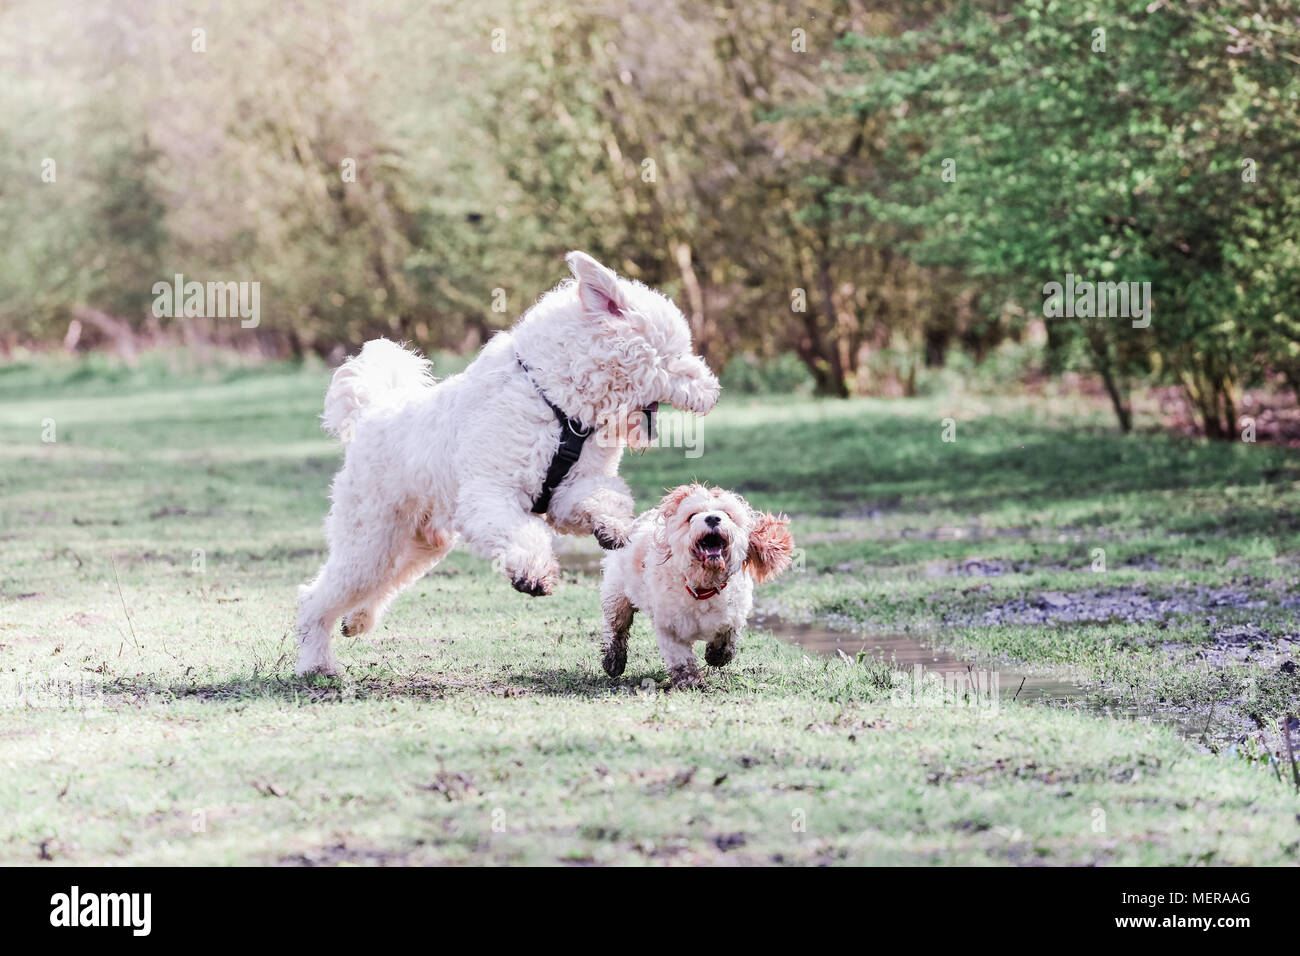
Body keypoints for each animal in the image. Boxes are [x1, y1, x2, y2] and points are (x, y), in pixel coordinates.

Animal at [296, 251, 722, 676]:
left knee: (378, 587)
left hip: (417, 545)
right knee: (315, 598)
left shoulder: (567, 491)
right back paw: (317, 663)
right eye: (678, 356)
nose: (715, 392)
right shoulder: (490, 496)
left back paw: (357, 619)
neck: (558, 402)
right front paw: (533, 573)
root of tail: (370, 414)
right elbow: (525, 534)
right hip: (370, 540)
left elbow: (602, 498)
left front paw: (612, 526)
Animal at [595, 486, 790, 686]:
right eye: (691, 516)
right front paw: (690, 682)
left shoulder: (733, 615)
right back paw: (613, 662)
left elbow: (726, 636)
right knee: (616, 628)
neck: (703, 587)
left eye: (728, 514)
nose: (713, 518)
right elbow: (681, 658)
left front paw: (717, 655)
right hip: (617, 597)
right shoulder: (670, 628)